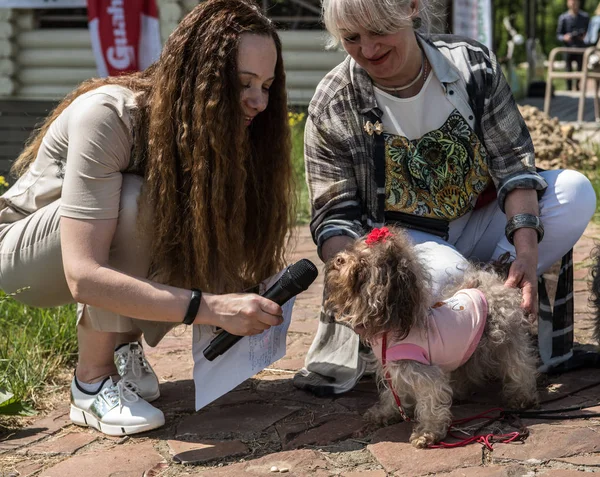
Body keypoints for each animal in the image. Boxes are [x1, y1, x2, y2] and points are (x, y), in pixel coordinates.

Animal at [326, 225, 540, 448]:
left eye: (363, 263)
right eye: (353, 248)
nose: (339, 259)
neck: (398, 323)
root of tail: (491, 282)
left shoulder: (423, 374)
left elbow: (430, 405)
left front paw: (427, 433)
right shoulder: (393, 370)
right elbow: (393, 396)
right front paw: (384, 414)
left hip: (506, 340)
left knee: (520, 366)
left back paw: (522, 396)